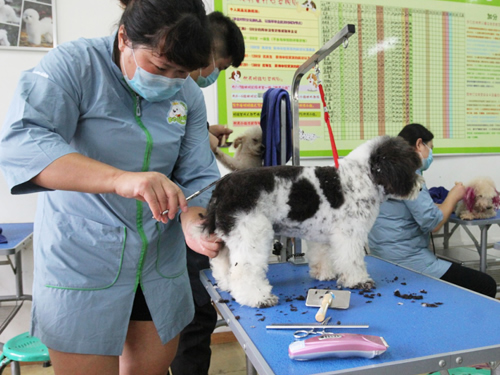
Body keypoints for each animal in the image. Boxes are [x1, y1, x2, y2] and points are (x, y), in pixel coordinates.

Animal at [201, 135, 424, 308]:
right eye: (411, 166)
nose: (420, 187)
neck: (363, 176)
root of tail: (223, 186)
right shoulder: (350, 234)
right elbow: (352, 261)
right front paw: (359, 281)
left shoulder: (323, 234)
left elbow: (322, 256)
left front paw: (324, 274)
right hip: (251, 233)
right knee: (244, 270)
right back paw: (259, 298)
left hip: (228, 238)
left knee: (222, 263)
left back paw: (227, 285)